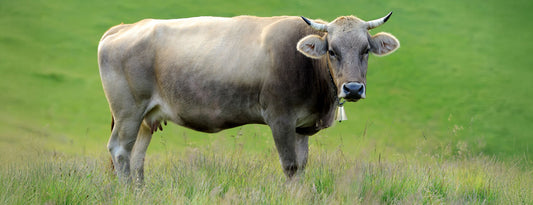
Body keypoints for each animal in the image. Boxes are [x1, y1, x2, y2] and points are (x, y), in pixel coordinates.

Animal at [98, 12, 400, 183]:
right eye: (333, 51)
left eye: (365, 50)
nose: (353, 89)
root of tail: (123, 27)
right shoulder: (280, 118)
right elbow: (291, 167)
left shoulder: (301, 125)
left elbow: (302, 166)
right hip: (128, 111)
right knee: (121, 151)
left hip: (146, 117)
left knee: (137, 156)